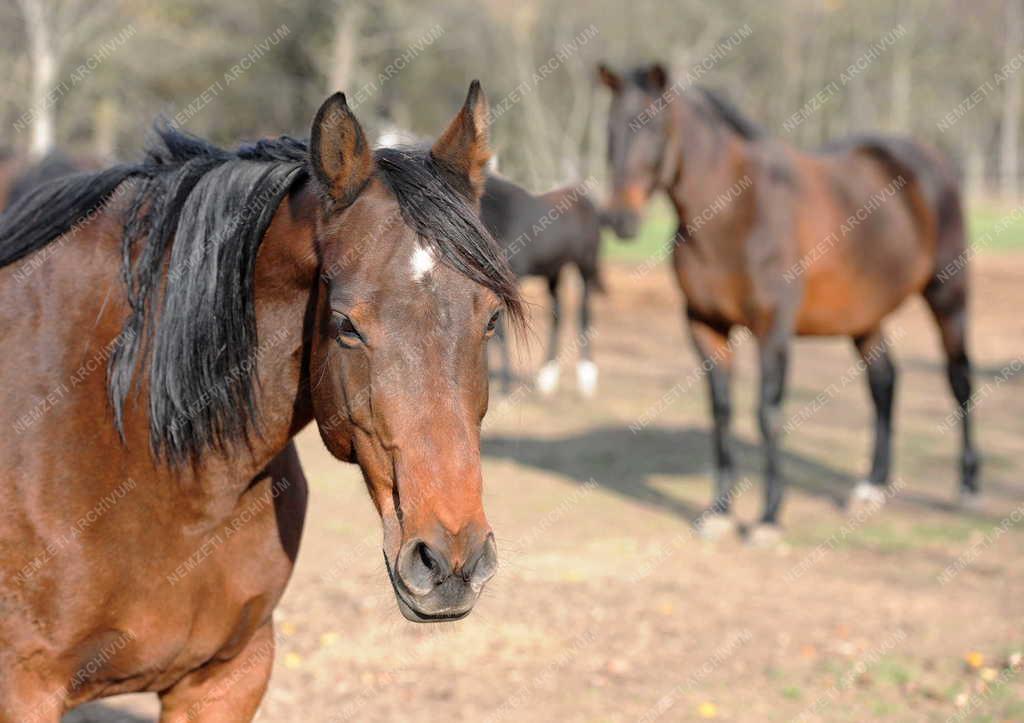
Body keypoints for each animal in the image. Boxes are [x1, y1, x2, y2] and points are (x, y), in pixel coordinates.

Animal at [481, 176, 602, 399]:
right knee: (558, 313)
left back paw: (587, 378)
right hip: (553, 272)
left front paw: (504, 387)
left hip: (585, 267)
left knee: (583, 310)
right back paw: (548, 378)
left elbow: (500, 332)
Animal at [598, 63, 974, 540]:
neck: (735, 212)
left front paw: (769, 517)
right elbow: (721, 412)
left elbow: (768, 413)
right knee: (884, 382)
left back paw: (967, 486)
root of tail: (931, 160)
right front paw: (720, 512)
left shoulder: (772, 330)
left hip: (949, 295)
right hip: (864, 317)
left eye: (654, 128)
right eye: (610, 129)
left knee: (959, 378)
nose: (620, 220)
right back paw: (872, 487)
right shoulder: (704, 326)